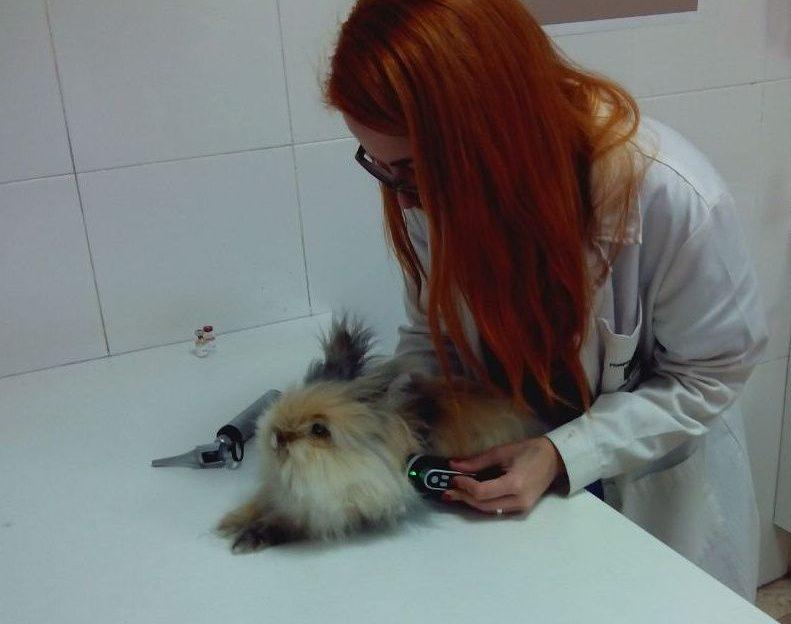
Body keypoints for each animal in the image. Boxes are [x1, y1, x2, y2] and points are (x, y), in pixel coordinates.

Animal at [215, 316, 546, 553]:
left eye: (319, 429)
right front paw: (229, 520)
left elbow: (290, 522)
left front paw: (246, 540)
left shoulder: (333, 510)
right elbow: (261, 502)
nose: (277, 437)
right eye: (286, 401)